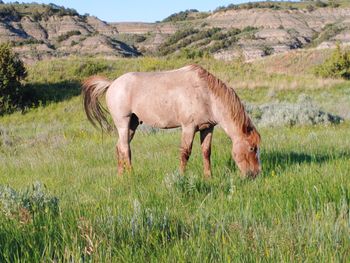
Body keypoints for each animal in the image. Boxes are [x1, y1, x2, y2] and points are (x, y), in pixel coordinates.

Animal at [82, 64, 262, 178]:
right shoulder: (189, 128)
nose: (255, 174)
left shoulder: (207, 128)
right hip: (123, 123)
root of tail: (112, 83)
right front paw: (181, 177)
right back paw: (132, 176)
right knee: (126, 149)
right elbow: (185, 153)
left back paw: (121, 176)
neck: (206, 94)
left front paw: (208, 177)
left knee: (119, 147)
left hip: (132, 124)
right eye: (252, 148)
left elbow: (206, 152)